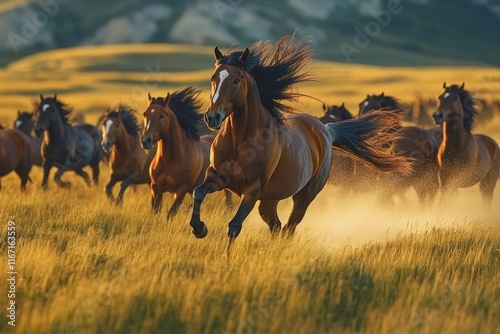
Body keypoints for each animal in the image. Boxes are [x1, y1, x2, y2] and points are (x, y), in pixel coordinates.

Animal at [141, 86, 232, 218]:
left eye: (162, 115)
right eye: (145, 114)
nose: (145, 141)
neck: (170, 160)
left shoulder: (181, 191)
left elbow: (170, 213)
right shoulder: (156, 187)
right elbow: (155, 211)